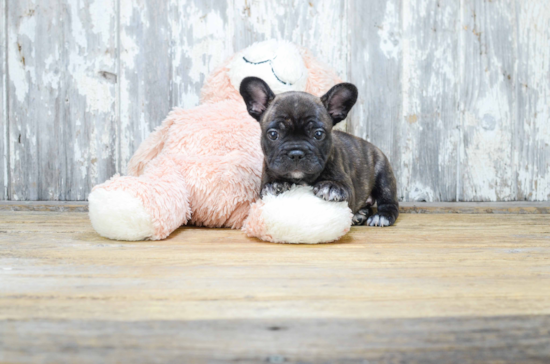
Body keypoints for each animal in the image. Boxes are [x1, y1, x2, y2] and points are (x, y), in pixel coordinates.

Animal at [242, 75, 402, 226]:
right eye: (273, 134)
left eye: (318, 134)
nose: (296, 153)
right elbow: (269, 185)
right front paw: (276, 184)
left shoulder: (348, 187)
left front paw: (330, 186)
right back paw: (360, 214)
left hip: (383, 175)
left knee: (389, 202)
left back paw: (381, 216)